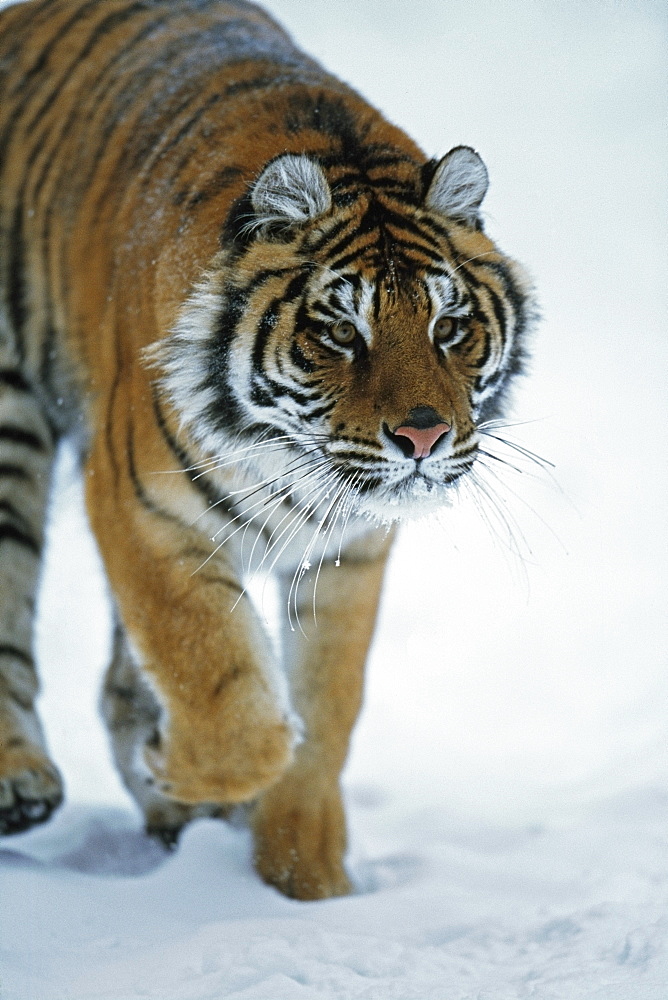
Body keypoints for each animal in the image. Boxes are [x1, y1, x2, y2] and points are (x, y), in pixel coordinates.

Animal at [0, 0, 532, 900]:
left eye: (449, 325)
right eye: (341, 331)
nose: (423, 437)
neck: (295, 466)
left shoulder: (348, 554)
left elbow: (325, 709)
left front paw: (304, 881)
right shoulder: (144, 511)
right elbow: (217, 680)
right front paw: (181, 764)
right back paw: (23, 784)